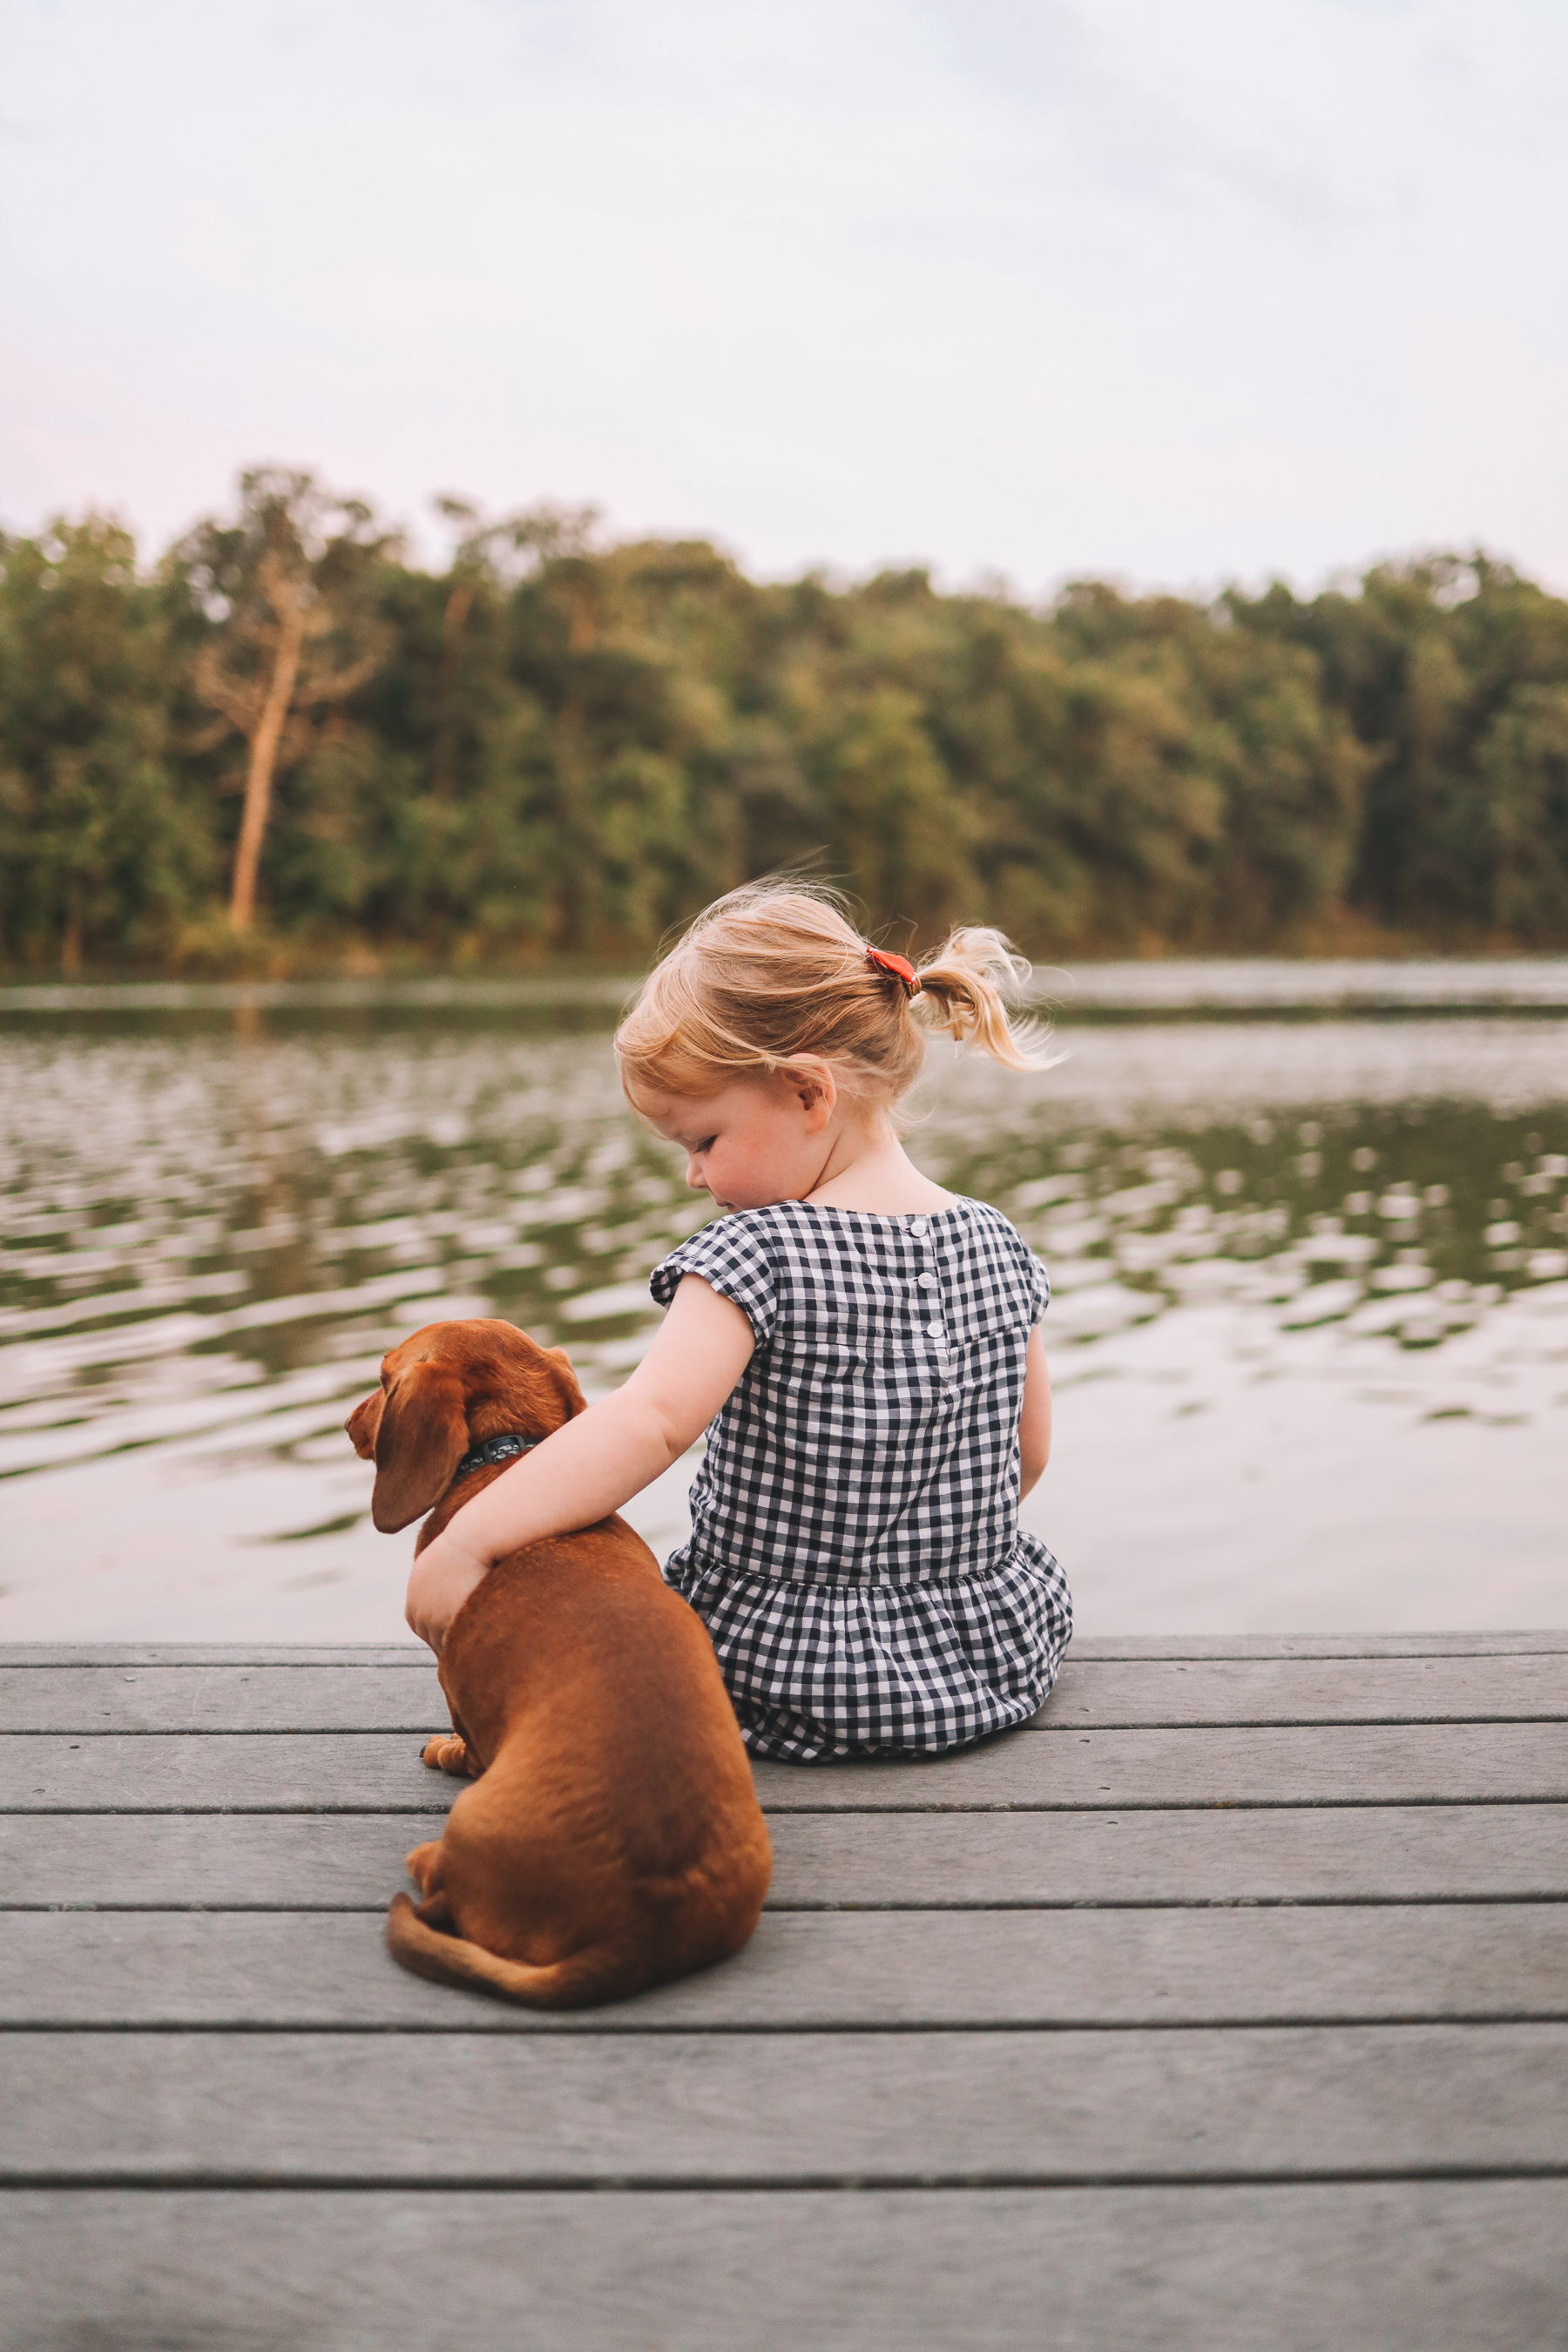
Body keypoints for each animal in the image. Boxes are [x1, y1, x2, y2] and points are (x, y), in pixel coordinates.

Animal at [350, 1317, 780, 2013]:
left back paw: (424, 1857)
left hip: (468, 1822)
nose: (348, 1423)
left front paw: (445, 1750)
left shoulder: (456, 1683)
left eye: (385, 1380)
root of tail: (631, 1936)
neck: (507, 1459)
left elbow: (466, 1740)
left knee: (441, 1888)